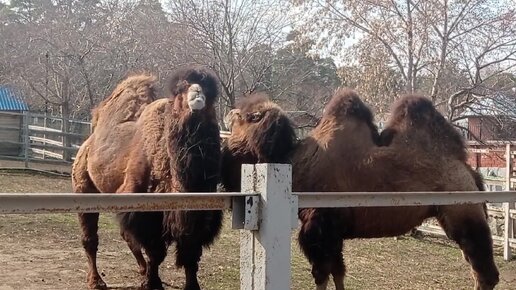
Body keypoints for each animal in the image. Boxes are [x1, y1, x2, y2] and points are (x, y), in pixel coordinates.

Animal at [72, 66, 222, 290]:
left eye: (210, 93)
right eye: (181, 90)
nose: (197, 93)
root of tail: (86, 144)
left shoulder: (199, 217)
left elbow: (190, 254)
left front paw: (190, 285)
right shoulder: (145, 212)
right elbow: (156, 253)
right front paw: (153, 283)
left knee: (126, 235)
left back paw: (140, 271)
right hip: (83, 185)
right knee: (90, 238)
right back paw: (96, 281)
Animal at [223, 90, 500, 290]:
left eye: (249, 117)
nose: (229, 112)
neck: (293, 164)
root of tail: (469, 171)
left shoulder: (320, 226)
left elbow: (322, 274)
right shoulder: (333, 231)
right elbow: (338, 273)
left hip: (464, 210)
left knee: (484, 270)